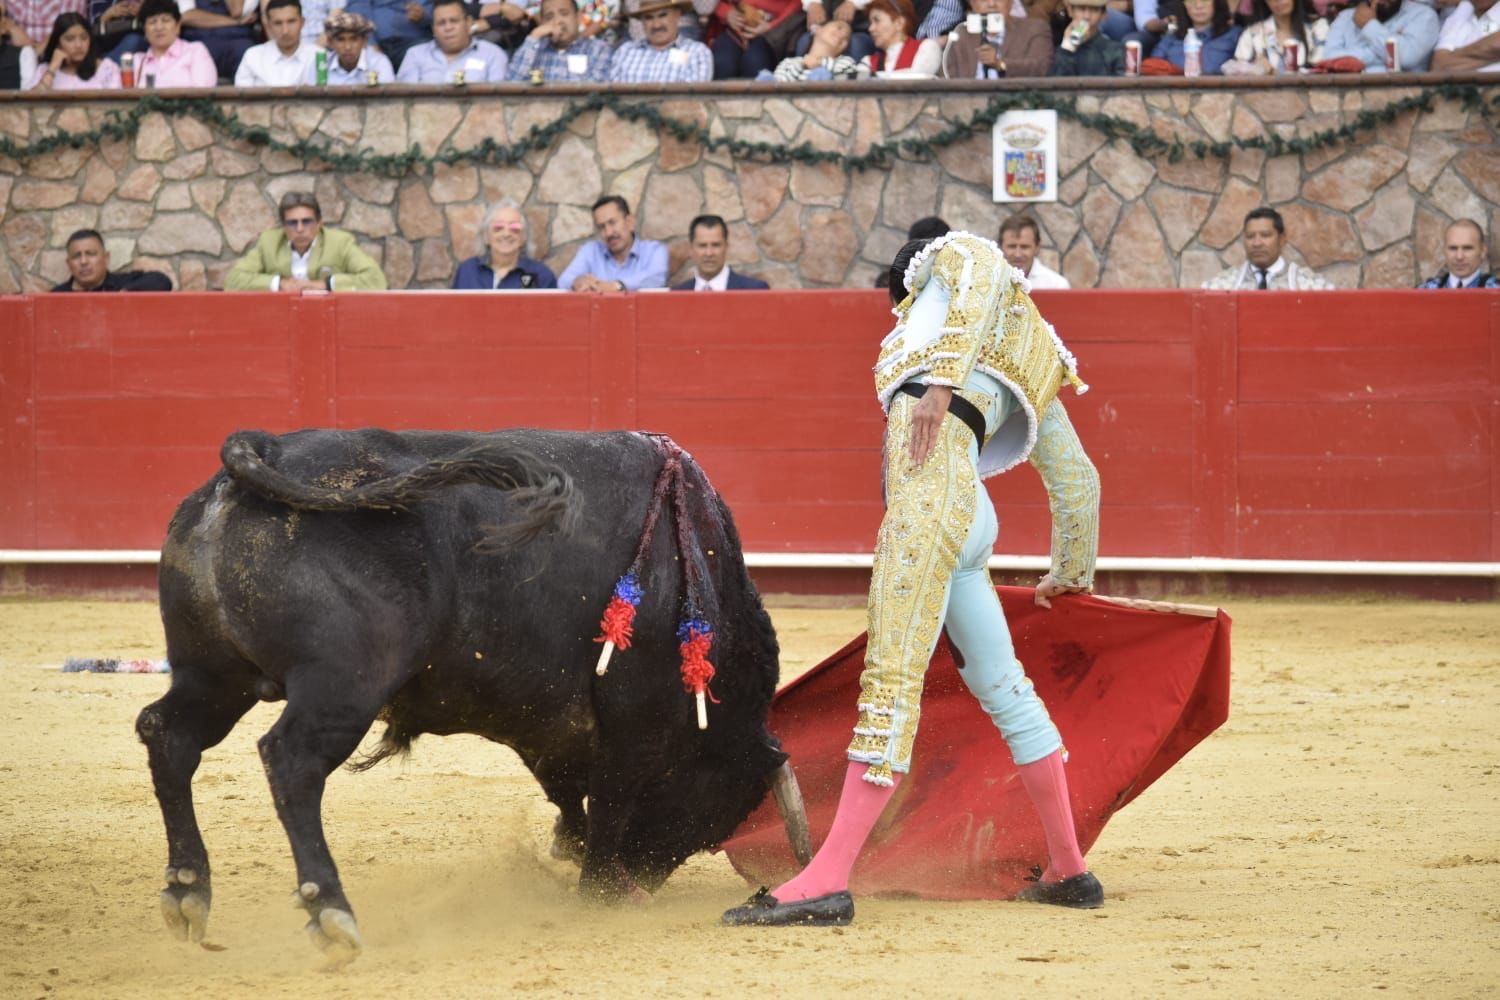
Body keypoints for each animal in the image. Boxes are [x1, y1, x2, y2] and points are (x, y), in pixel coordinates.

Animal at [141, 425, 804, 959]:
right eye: (717, 811)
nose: (641, 883)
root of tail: (266, 451)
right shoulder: (631, 726)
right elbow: (609, 805)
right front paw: (597, 892)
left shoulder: (548, 725)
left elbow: (570, 793)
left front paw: (572, 849)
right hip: (342, 684)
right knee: (291, 761)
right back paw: (331, 911)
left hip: (213, 674)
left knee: (167, 733)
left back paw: (188, 891)